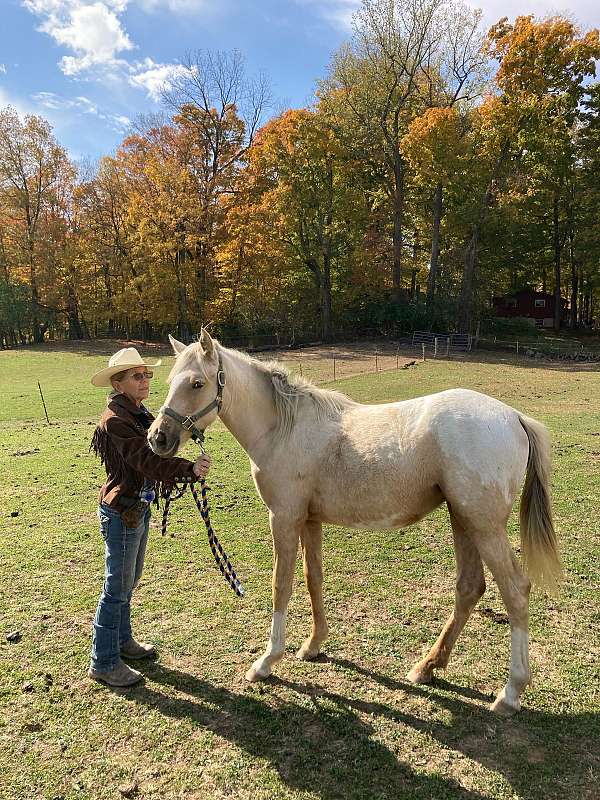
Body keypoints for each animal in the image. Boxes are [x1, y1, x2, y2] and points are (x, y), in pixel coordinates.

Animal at [149, 328, 564, 716]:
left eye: (197, 383)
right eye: (170, 381)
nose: (158, 438)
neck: (284, 428)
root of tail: (514, 417)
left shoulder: (283, 518)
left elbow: (281, 585)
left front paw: (266, 662)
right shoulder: (308, 520)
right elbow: (312, 578)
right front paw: (313, 645)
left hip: (484, 526)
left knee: (515, 590)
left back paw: (509, 693)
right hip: (463, 519)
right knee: (469, 588)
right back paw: (427, 667)